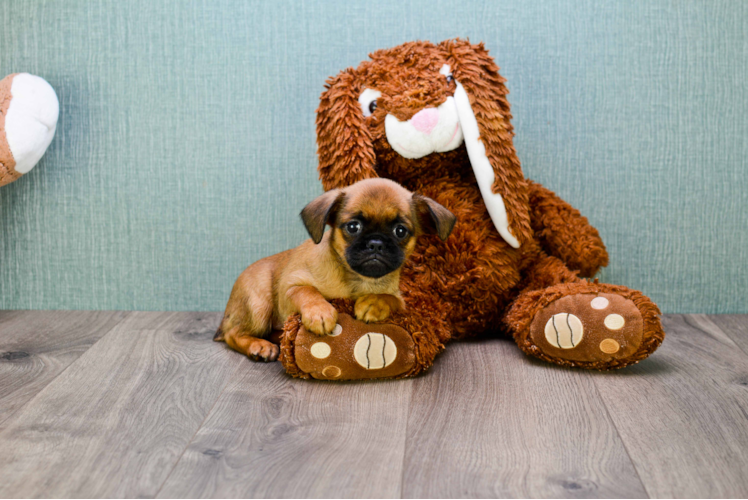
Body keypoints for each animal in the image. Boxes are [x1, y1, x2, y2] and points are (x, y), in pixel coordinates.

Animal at [213, 178, 452, 362]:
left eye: (400, 231)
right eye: (353, 227)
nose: (376, 243)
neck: (358, 280)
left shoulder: (400, 300)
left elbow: (388, 298)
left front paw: (373, 303)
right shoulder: (288, 288)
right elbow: (307, 291)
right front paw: (319, 311)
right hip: (259, 304)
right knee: (232, 334)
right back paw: (259, 346)